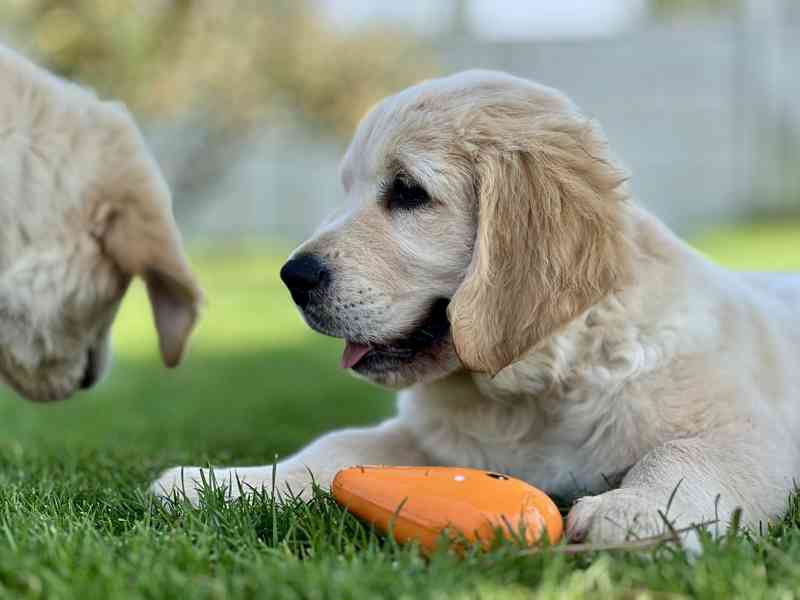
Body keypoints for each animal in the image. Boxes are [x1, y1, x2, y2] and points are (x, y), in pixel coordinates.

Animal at [152, 70, 800, 548]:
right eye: (348, 189)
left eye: (408, 192)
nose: (293, 277)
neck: (531, 391)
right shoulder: (426, 442)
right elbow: (337, 447)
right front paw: (220, 483)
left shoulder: (754, 432)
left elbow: (683, 452)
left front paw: (634, 511)